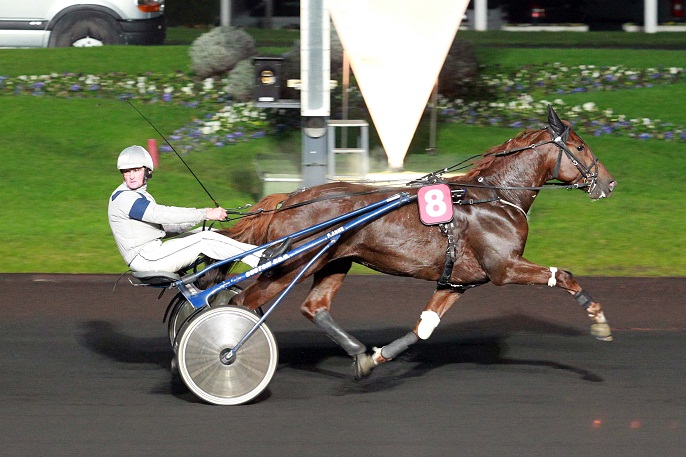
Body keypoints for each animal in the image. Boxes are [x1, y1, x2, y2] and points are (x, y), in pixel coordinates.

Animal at [222, 106, 620, 378]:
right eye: (580, 147)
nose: (610, 182)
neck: (495, 197)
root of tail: (287, 199)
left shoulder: (457, 281)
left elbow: (424, 327)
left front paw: (376, 357)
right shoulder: (504, 268)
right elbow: (563, 275)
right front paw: (598, 318)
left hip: (333, 261)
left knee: (314, 307)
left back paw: (356, 351)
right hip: (290, 267)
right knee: (241, 302)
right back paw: (231, 351)